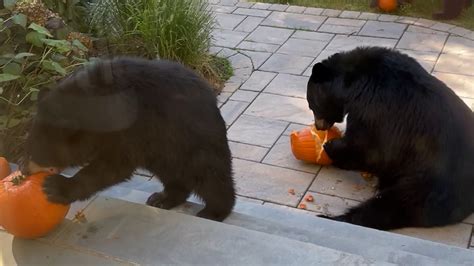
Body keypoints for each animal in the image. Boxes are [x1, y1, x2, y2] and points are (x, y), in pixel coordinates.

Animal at [23, 57, 236, 221]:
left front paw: (54, 187)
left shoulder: (128, 125)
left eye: (38, 153)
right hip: (163, 149)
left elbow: (114, 164)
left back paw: (213, 211)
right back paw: (162, 198)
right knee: (173, 174)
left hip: (190, 138)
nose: (24, 171)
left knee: (209, 173)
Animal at [308, 46, 474, 230]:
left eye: (311, 104)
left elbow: (367, 148)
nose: (318, 126)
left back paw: (335, 217)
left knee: (391, 205)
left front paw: (332, 147)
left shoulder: (375, 109)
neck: (352, 84)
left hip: (429, 180)